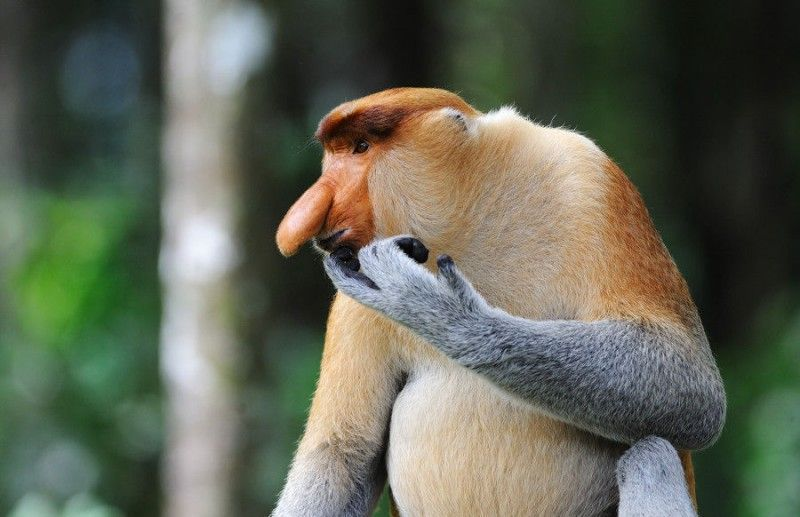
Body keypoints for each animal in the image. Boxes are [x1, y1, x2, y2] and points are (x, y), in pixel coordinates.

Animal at [273, 88, 725, 516]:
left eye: (361, 147)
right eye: (333, 154)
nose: (301, 218)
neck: (464, 225)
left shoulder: (589, 179)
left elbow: (694, 389)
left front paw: (430, 306)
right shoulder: (352, 293)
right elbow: (342, 456)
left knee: (650, 454)